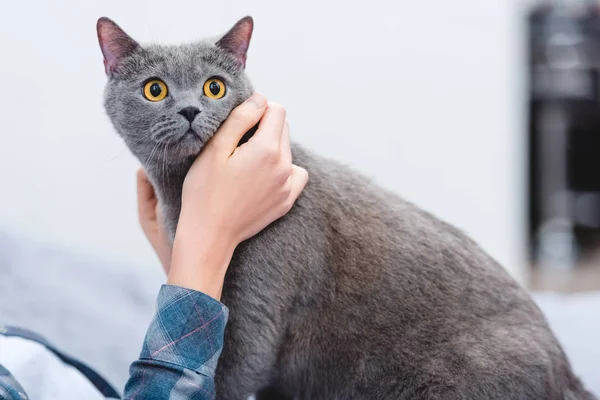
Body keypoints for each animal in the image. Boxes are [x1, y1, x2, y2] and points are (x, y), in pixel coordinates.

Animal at [97, 16, 596, 400]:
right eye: (155, 90)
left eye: (214, 87)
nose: (188, 110)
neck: (181, 196)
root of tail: (568, 376)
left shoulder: (256, 309)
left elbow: (231, 373)